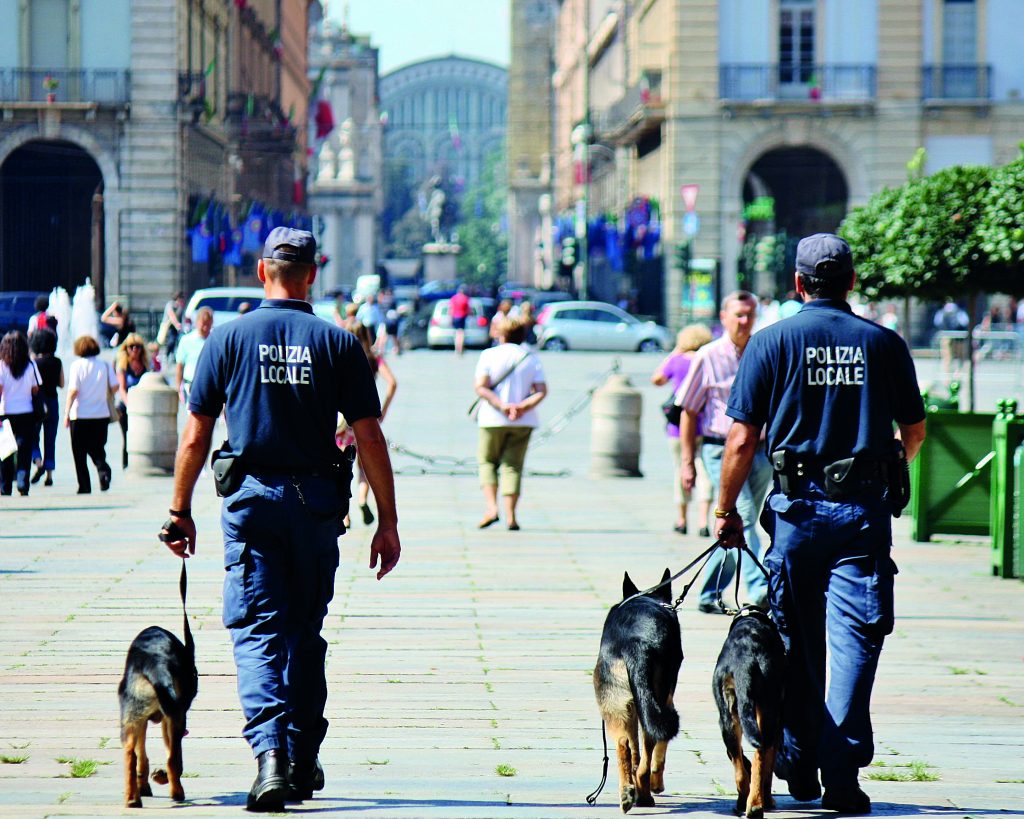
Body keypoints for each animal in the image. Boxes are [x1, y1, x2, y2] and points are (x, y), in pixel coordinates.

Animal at [118, 622, 196, 810]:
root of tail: (155, 666)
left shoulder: (144, 720)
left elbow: (142, 757)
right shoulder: (171, 716)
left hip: (132, 715)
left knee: (131, 754)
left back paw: (132, 799)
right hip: (175, 718)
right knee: (173, 759)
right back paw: (177, 793)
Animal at [593, 569, 679, 810]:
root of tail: (634, 643)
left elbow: (634, 751)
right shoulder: (667, 700)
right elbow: (659, 752)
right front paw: (657, 784)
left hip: (616, 704)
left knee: (623, 744)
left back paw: (628, 793)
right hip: (657, 702)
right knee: (648, 753)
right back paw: (646, 796)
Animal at [712, 606, 782, 814]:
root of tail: (745, 661)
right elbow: (768, 767)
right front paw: (768, 799)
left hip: (727, 719)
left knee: (739, 770)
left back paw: (742, 802)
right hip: (767, 715)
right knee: (760, 757)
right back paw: (756, 804)